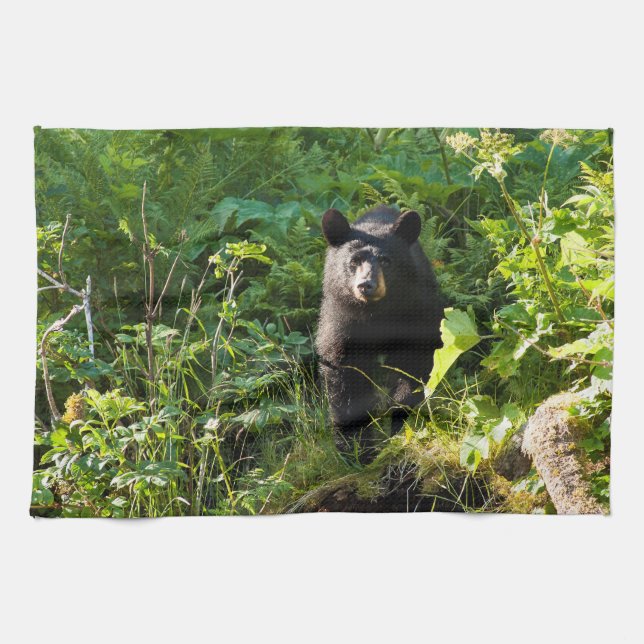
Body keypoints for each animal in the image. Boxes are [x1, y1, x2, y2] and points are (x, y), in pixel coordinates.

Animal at [315, 205, 444, 462]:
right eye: (354, 261)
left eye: (385, 260)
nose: (366, 285)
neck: (376, 313)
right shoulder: (342, 321)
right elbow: (345, 377)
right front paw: (356, 450)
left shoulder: (416, 311)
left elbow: (414, 364)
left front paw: (401, 424)